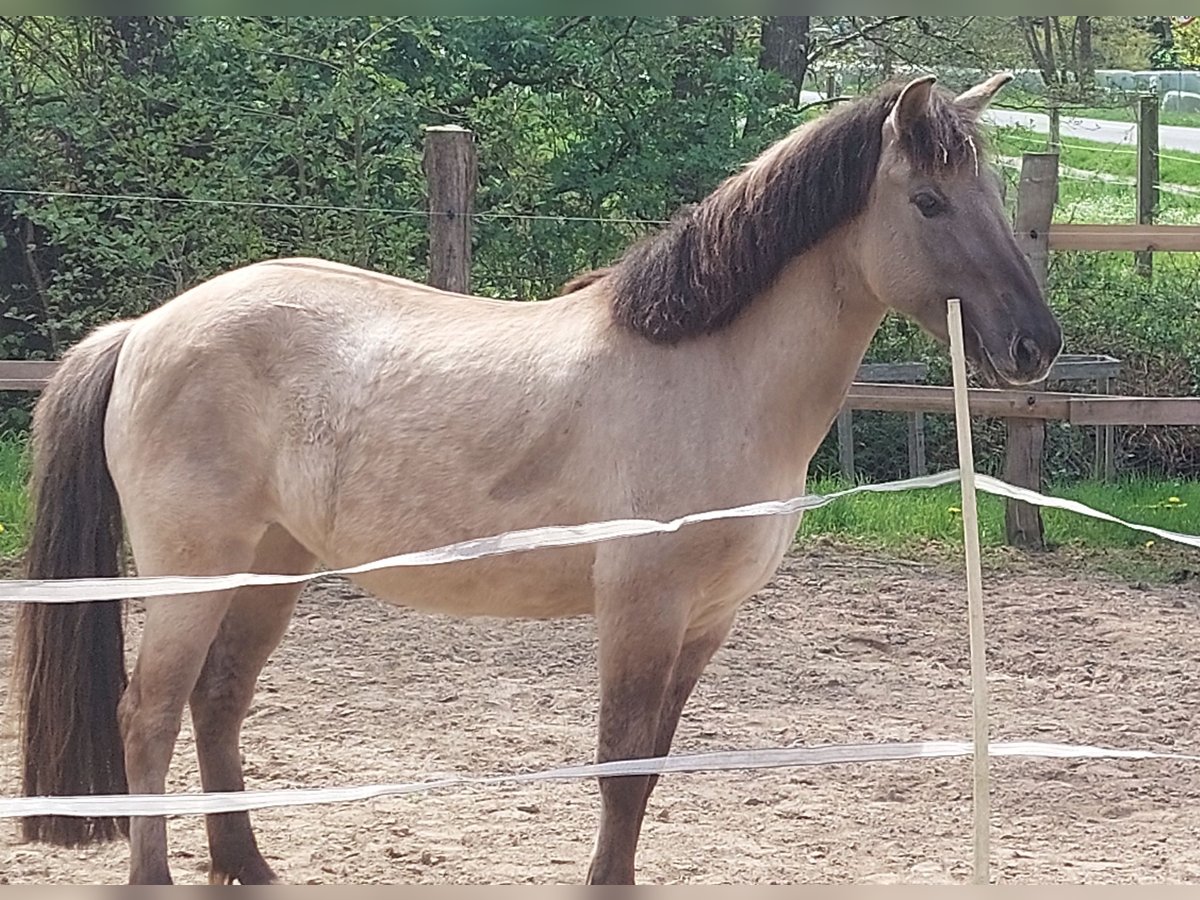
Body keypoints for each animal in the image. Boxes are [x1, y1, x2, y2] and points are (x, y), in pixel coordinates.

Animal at [9, 72, 1060, 888]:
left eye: (992, 193)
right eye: (928, 203)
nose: (1034, 345)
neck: (711, 373)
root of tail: (143, 331)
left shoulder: (707, 619)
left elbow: (650, 766)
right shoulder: (642, 604)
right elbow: (621, 765)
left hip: (270, 568)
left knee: (216, 703)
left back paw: (249, 865)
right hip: (192, 573)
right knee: (147, 715)